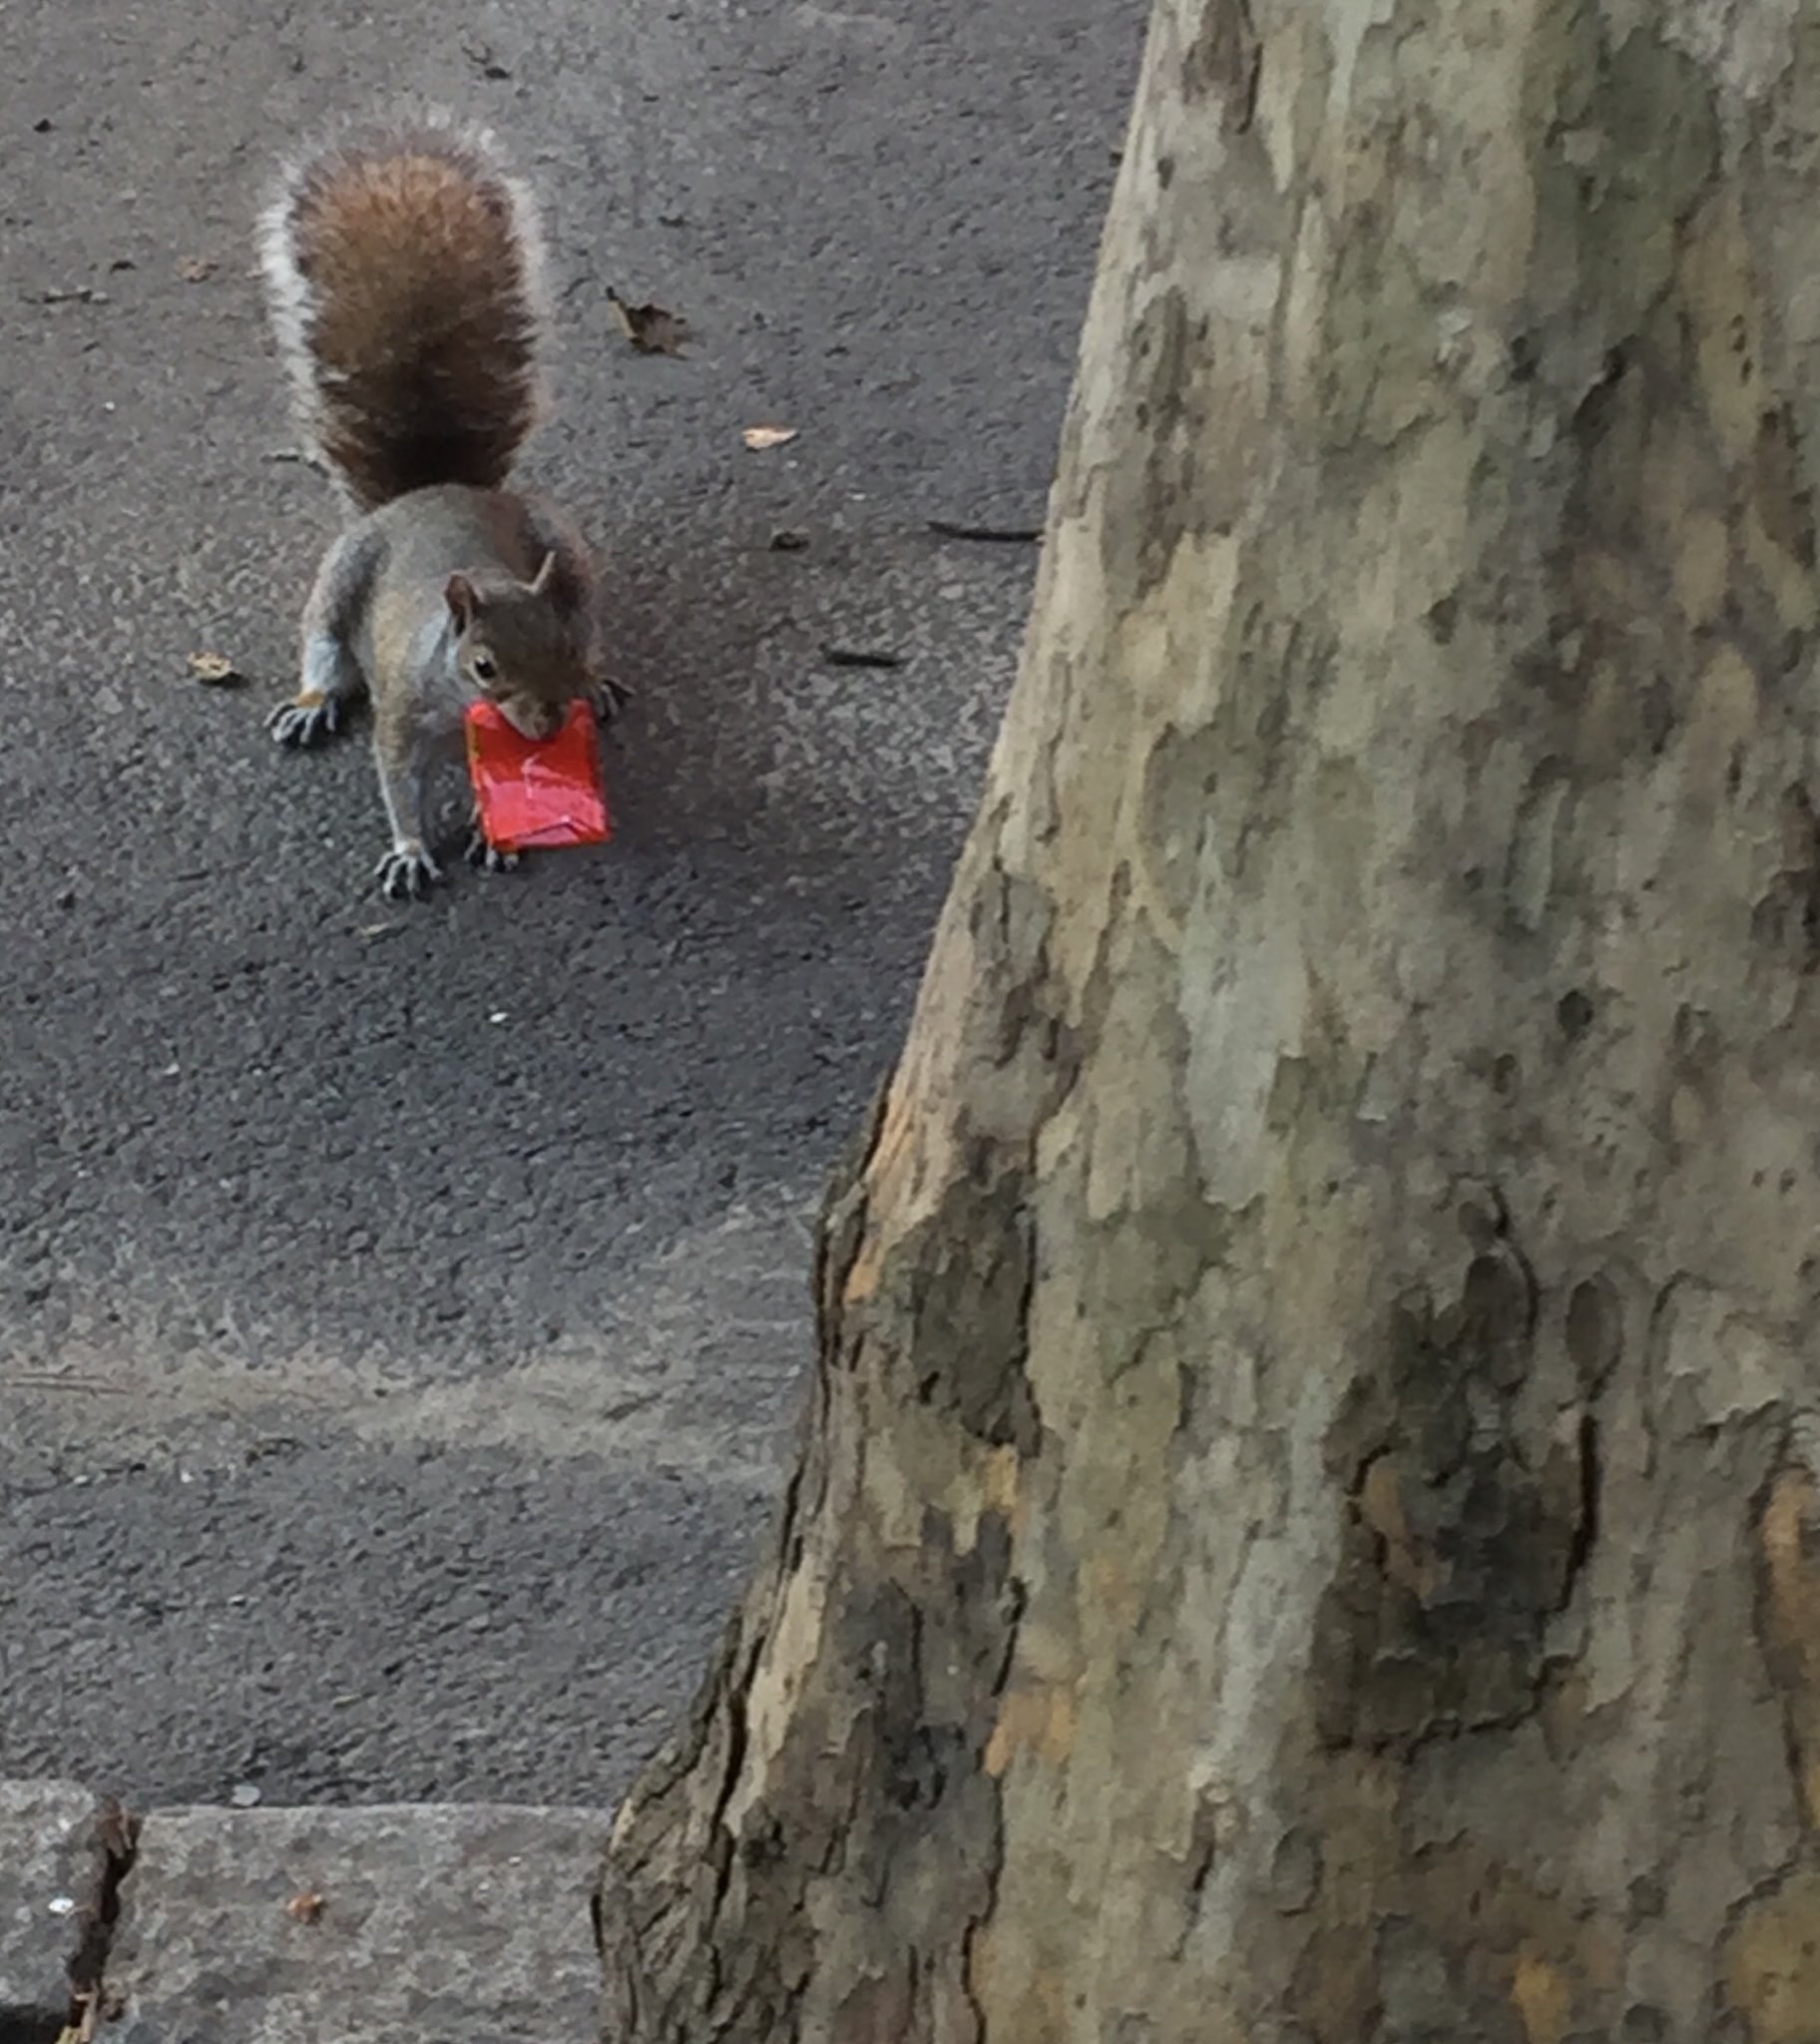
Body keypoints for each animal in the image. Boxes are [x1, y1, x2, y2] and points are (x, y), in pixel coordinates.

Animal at [259, 113, 622, 900]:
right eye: (483, 665)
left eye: (560, 646)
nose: (549, 723)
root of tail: (429, 491)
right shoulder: (400, 715)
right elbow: (399, 782)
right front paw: (410, 850)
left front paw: (496, 836)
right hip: (339, 584)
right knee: (324, 649)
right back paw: (311, 705)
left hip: (566, 552)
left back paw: (604, 683)